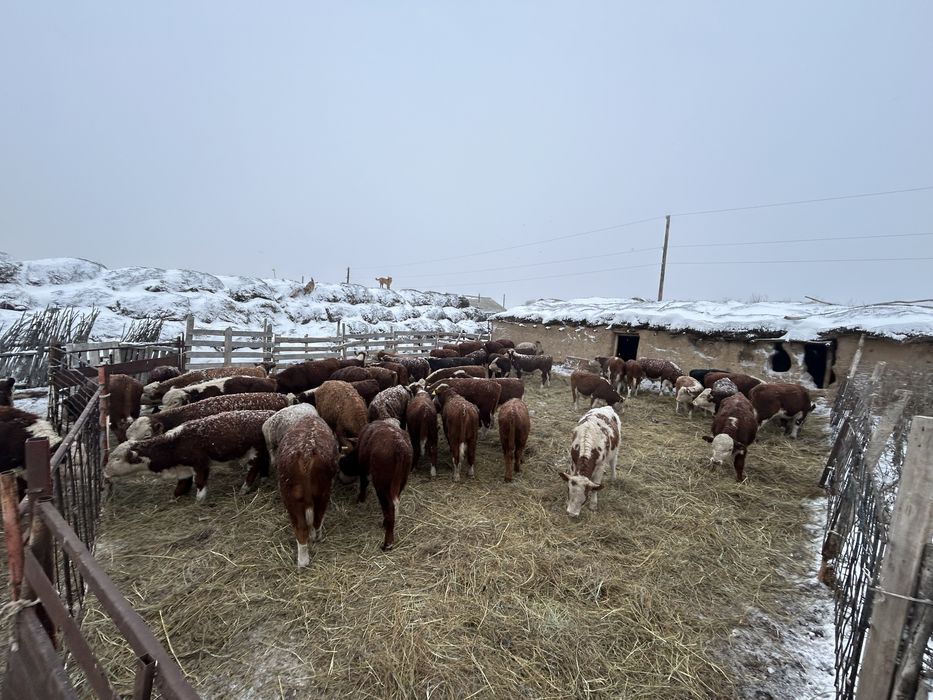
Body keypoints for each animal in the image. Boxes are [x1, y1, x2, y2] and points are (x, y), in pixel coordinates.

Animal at [104, 410, 275, 502]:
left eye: (117, 459)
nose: (105, 473)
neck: (175, 442)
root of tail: (268, 414)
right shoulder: (183, 467)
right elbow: (182, 484)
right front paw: (175, 496)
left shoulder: (201, 463)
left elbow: (199, 482)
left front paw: (200, 499)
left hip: (255, 452)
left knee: (253, 468)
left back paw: (245, 488)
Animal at [277, 415, 339, 567]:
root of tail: (306, 453)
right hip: (322, 491)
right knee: (317, 519)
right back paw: (316, 539)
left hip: (289, 495)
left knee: (300, 527)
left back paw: (303, 561)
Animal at [356, 419, 413, 550]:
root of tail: (399, 447)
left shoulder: (362, 467)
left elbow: (363, 483)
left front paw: (360, 499)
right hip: (401, 480)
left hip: (382, 482)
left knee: (389, 507)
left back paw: (388, 543)